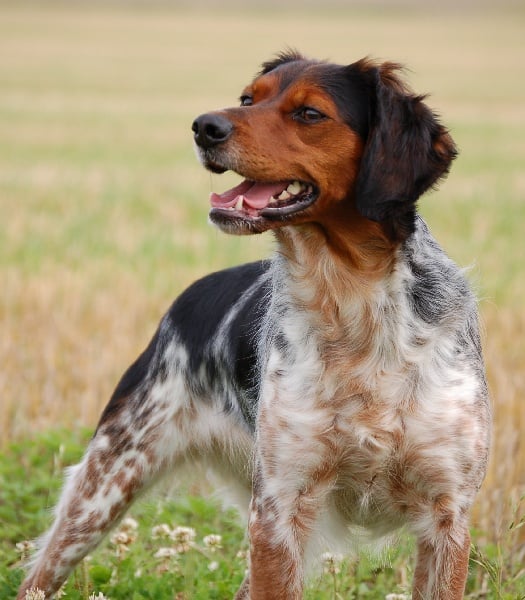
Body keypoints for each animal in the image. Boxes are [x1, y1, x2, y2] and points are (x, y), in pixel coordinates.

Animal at [17, 51, 492, 600]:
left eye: (309, 113)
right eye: (247, 99)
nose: (204, 126)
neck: (351, 301)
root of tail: (188, 296)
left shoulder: (446, 515)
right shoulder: (279, 507)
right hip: (104, 485)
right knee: (39, 573)